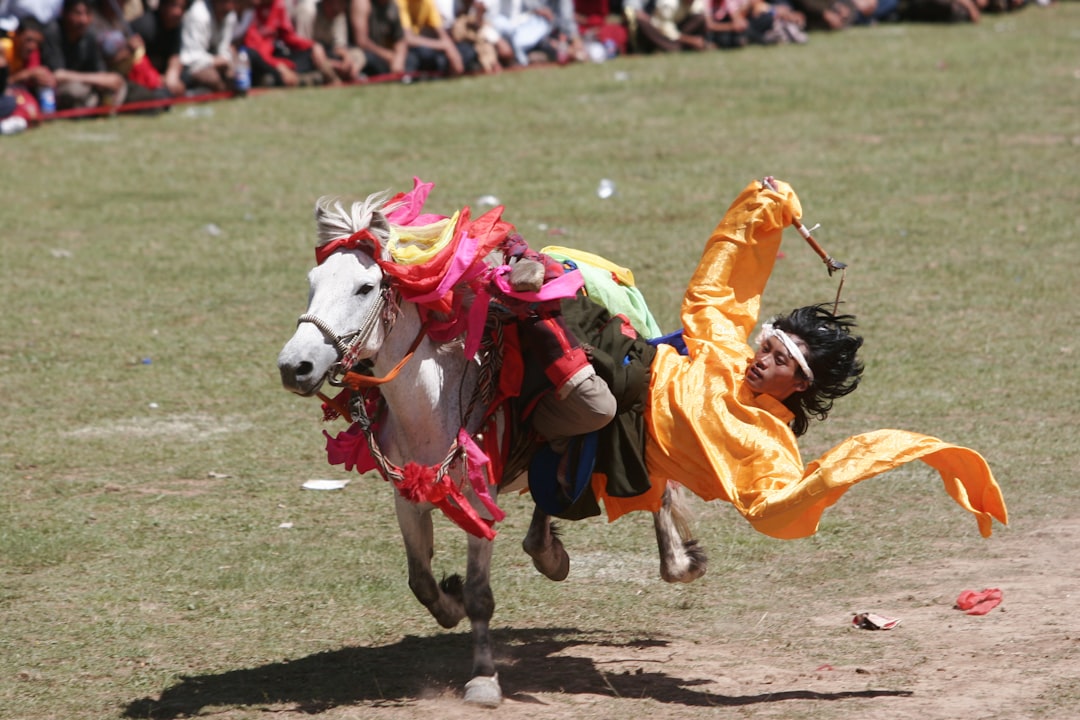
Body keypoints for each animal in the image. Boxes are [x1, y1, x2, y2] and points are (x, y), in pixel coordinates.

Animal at [274, 188, 704, 708]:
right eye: (312, 283)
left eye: (364, 288)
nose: (295, 366)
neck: (435, 397)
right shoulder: (407, 496)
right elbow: (420, 580)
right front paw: (451, 601)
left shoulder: (481, 500)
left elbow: (481, 594)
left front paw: (483, 678)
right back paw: (549, 552)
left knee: (656, 488)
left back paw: (679, 562)